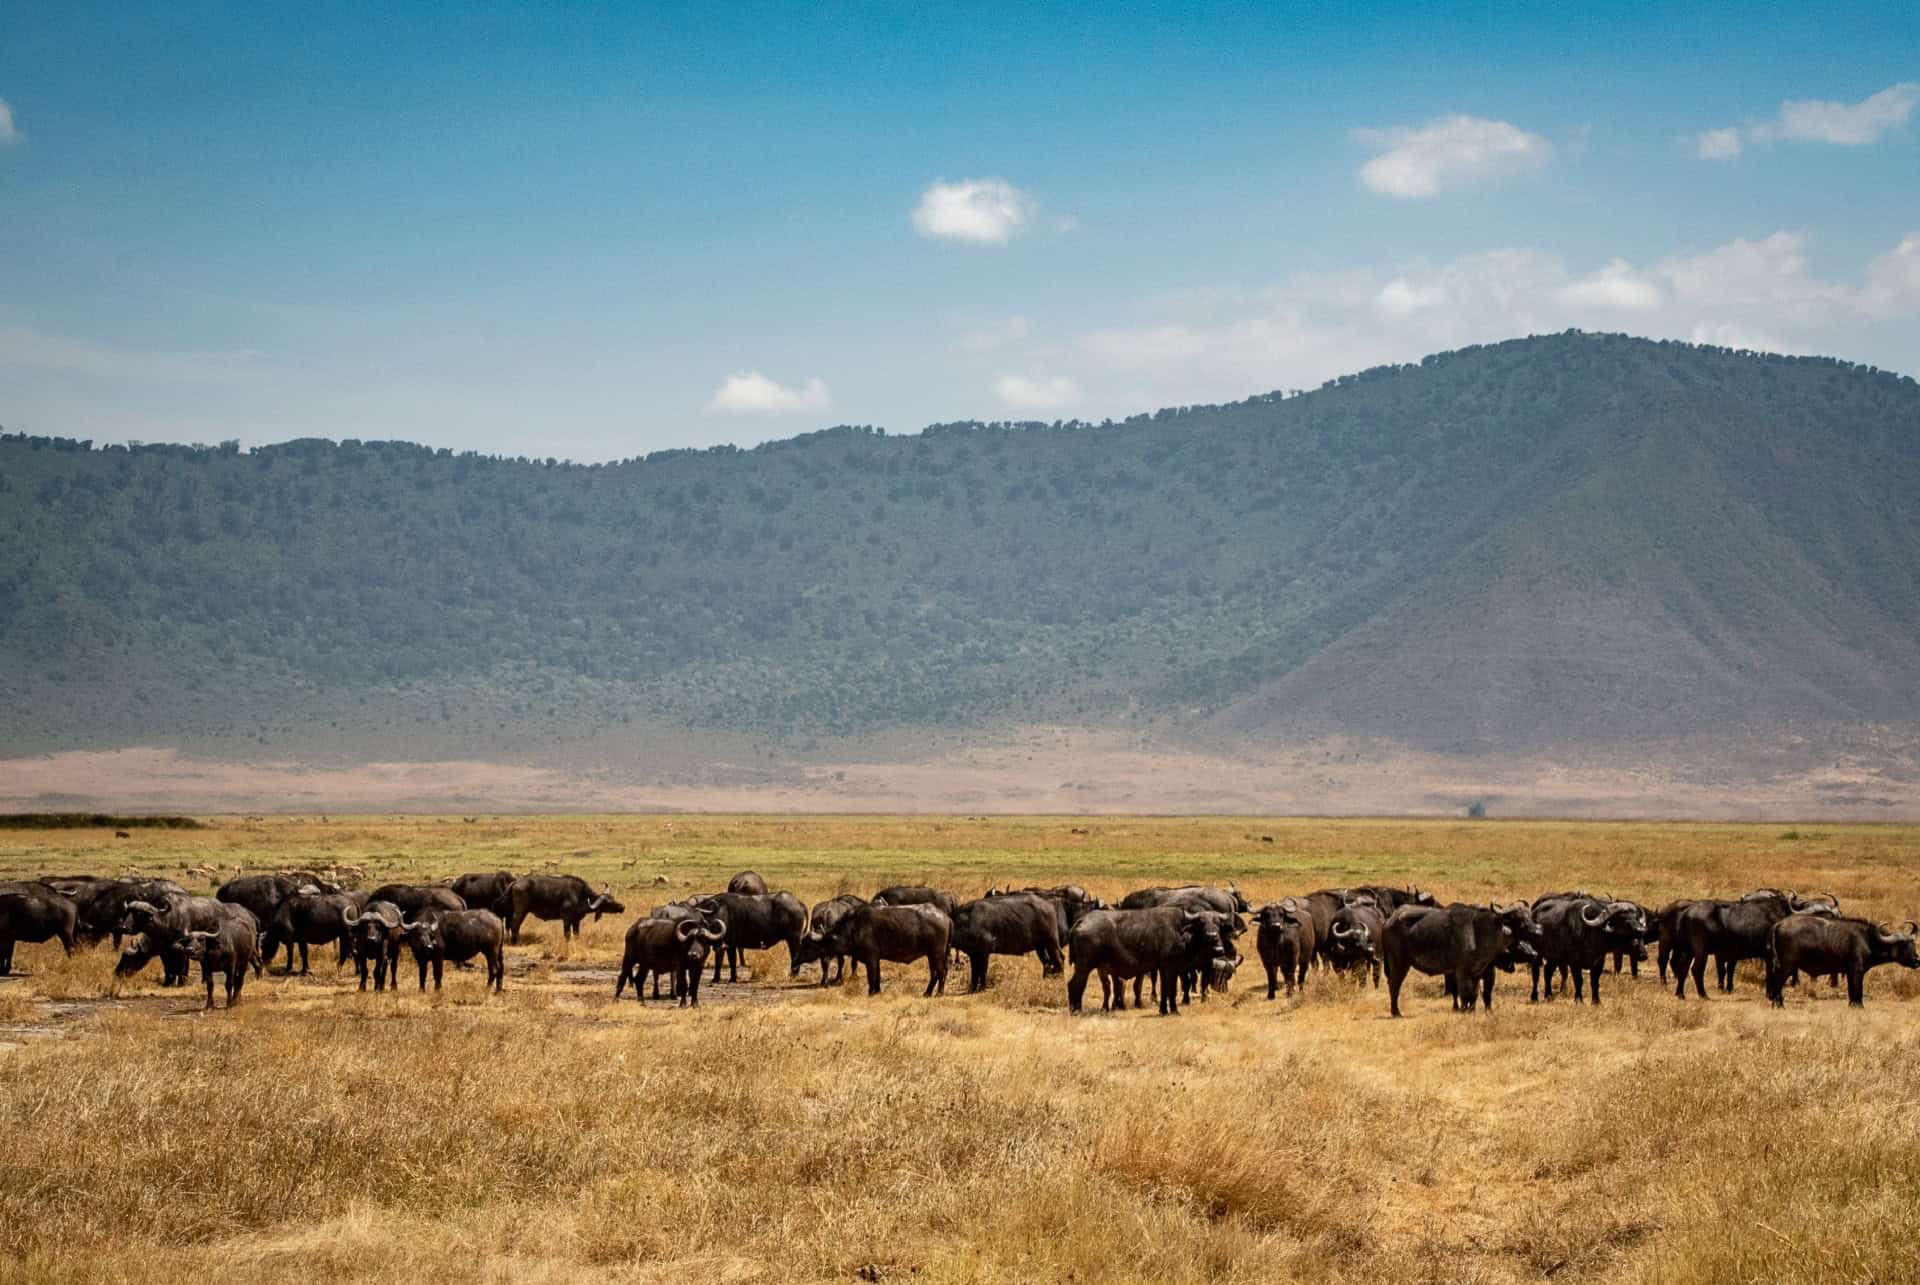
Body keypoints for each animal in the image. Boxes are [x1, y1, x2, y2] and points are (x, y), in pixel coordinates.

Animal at [810, 898, 952, 998]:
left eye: (828, 942)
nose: (823, 955)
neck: (854, 927)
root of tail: (946, 917)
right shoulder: (876, 959)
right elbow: (878, 975)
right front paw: (877, 991)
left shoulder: (871, 958)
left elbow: (871, 976)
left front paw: (871, 993)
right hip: (932, 955)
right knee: (937, 972)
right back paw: (929, 992)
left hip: (936, 953)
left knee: (940, 972)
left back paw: (937, 993)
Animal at [1067, 902, 1228, 1014]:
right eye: (1201, 923)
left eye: (1218, 924)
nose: (1213, 937)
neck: (1181, 931)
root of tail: (1082, 920)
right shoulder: (1172, 967)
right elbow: (1172, 990)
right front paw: (1174, 1010)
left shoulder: (1163, 968)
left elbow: (1164, 990)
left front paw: (1163, 1010)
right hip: (1084, 966)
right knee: (1076, 984)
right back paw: (1076, 1010)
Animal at [1674, 887, 1835, 998]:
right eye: (1822, 913)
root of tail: (1687, 912)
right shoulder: (1770, 956)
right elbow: (1770, 973)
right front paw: (1770, 994)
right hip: (1701, 951)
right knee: (1696, 970)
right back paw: (1703, 995)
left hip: (1688, 951)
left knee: (1683, 969)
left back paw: (1680, 994)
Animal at [1766, 910, 1920, 998]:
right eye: (1903, 945)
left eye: (1913, 944)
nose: (1916, 960)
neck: (1868, 939)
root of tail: (1779, 924)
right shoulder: (1856, 970)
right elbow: (1857, 992)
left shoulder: (1850, 972)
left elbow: (1852, 992)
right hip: (1786, 966)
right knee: (1777, 984)